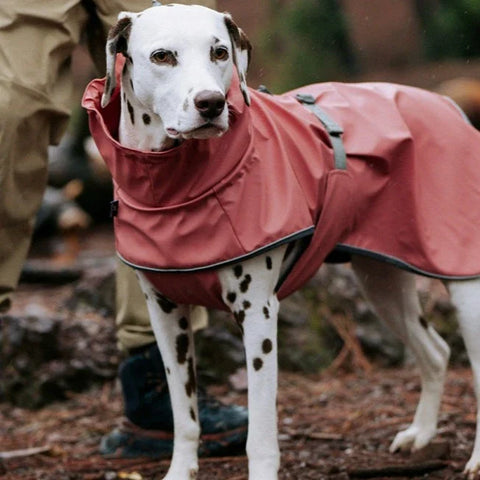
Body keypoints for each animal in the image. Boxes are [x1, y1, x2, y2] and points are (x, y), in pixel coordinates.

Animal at [88, 3, 480, 480]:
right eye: (162, 56)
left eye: (219, 52)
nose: (211, 103)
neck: (175, 190)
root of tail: (446, 103)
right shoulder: (165, 317)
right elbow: (185, 418)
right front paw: (180, 470)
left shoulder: (258, 315)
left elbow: (260, 435)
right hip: (383, 287)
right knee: (436, 352)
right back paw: (420, 434)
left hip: (464, 285)